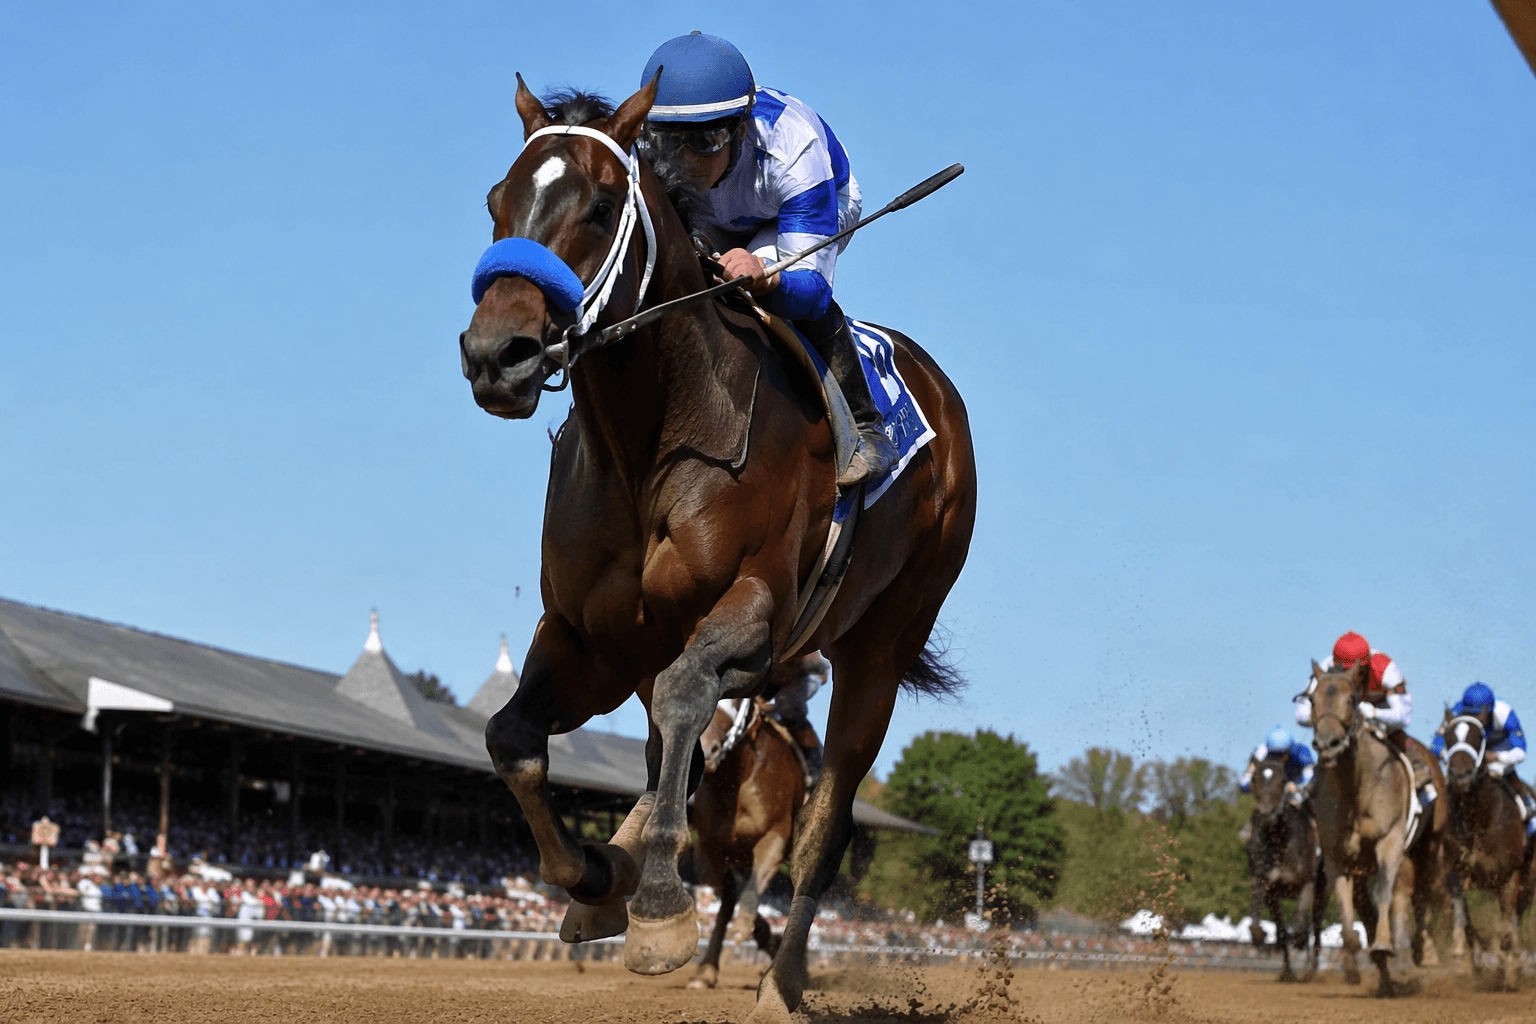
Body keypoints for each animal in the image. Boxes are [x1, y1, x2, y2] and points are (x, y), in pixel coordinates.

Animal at [687, 687, 806, 990]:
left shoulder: (774, 838)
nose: (706, 749)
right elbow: (728, 899)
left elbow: (750, 891)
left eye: (738, 698)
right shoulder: (708, 850)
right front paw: (706, 970)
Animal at [1243, 751, 1325, 981]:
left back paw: (1311, 968)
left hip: (1322, 889)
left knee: (1315, 925)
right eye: (1254, 780)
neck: (1278, 839)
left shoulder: (1307, 882)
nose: (1265, 815)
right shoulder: (1264, 884)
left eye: (1281, 781)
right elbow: (1262, 927)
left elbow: (1298, 928)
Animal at [1303, 660, 1447, 993]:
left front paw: (1384, 946)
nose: (1327, 744)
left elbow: (1384, 892)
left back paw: (1419, 953)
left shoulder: (1390, 841)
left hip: (1430, 846)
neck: (1356, 788)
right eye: (1313, 700)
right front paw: (1355, 963)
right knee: (1388, 898)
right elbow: (1347, 909)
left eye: (1351, 700)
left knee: (1418, 894)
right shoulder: (1337, 857)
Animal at [1439, 708, 1533, 989]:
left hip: (1529, 881)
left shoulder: (1511, 876)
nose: (1460, 774)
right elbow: (1463, 913)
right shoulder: (1455, 868)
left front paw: (1508, 964)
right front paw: (1464, 955)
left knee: (1516, 915)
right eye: (1448, 736)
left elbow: (1507, 925)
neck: (1479, 819)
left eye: (1477, 736)